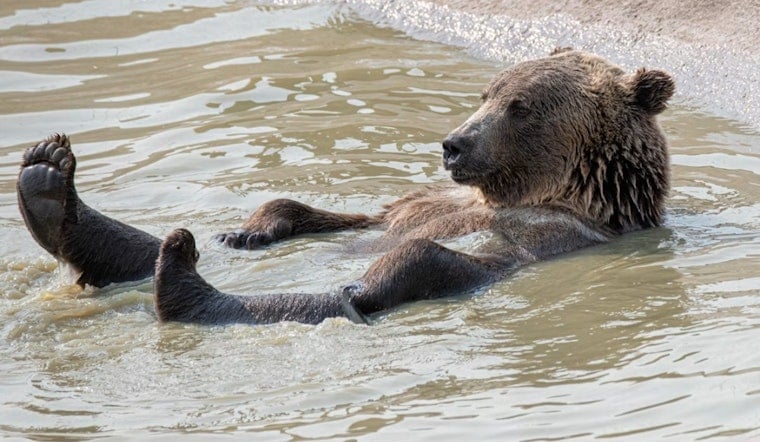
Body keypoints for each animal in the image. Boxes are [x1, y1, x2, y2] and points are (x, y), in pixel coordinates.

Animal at [17, 48, 674, 325]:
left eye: (521, 106)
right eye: (487, 92)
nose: (454, 143)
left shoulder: (551, 236)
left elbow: (439, 251)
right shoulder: (416, 201)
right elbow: (325, 211)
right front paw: (249, 231)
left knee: (386, 277)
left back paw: (184, 284)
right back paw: (48, 181)